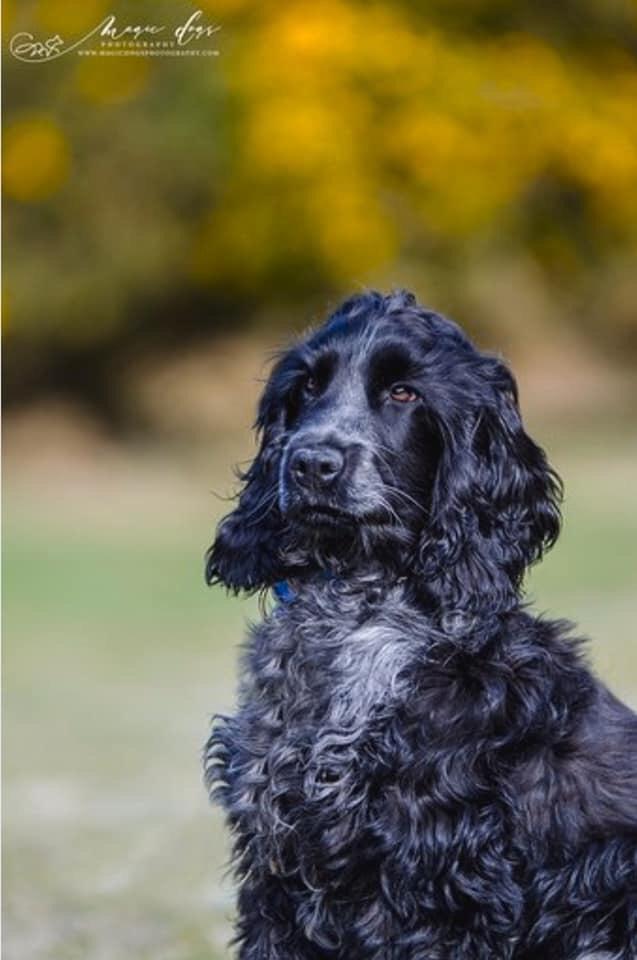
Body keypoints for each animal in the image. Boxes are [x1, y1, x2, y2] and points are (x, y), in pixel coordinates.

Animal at [205, 288, 636, 956]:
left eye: (404, 393)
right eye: (307, 387)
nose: (310, 463)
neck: (353, 614)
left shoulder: (440, 875)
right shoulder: (277, 861)